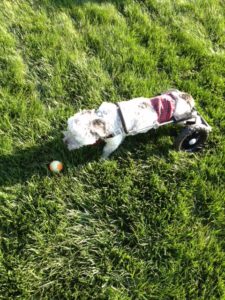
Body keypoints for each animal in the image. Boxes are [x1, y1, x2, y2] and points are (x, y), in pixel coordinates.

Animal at [62, 89, 195, 158]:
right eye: (68, 130)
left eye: (77, 139)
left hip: (182, 119)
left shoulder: (113, 142)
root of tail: (186, 97)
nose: (65, 142)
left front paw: (102, 159)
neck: (102, 119)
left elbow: (106, 151)